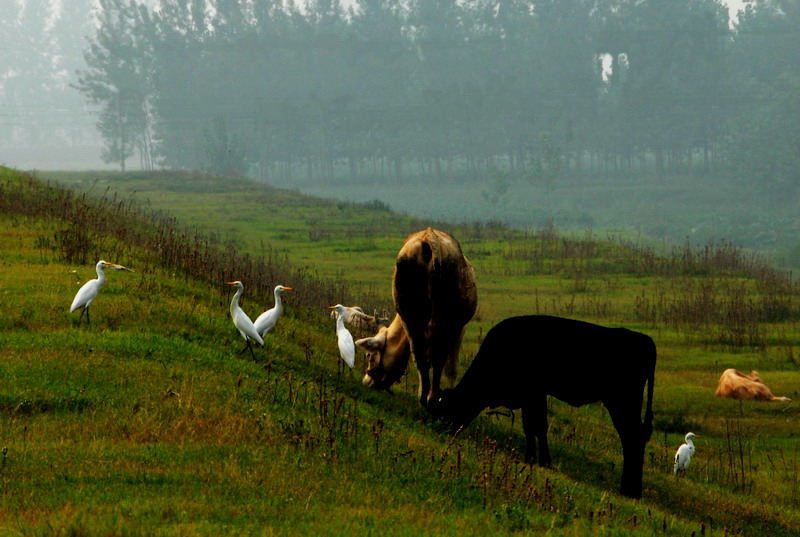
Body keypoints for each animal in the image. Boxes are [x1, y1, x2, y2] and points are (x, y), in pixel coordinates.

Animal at [354, 226, 476, 406]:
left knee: (421, 356)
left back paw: (425, 398)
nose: (365, 382)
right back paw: (430, 398)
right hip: (443, 318)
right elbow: (451, 367)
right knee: (436, 357)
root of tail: (429, 238)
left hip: (410, 314)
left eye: (369, 355)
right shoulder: (459, 327)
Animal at [434, 314, 652, 498]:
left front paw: (541, 461)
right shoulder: (530, 398)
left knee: (632, 437)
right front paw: (533, 458)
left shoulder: (533, 394)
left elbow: (536, 426)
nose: (442, 430)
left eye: (447, 410)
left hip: (621, 402)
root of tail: (643, 339)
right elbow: (531, 428)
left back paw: (630, 489)